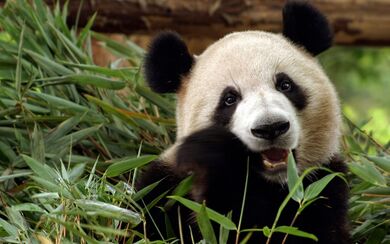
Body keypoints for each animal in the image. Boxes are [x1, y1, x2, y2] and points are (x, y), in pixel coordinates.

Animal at [136, 0, 348, 243]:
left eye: (285, 85)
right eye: (229, 99)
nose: (270, 127)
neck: (272, 184)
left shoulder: (323, 185)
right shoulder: (167, 190)